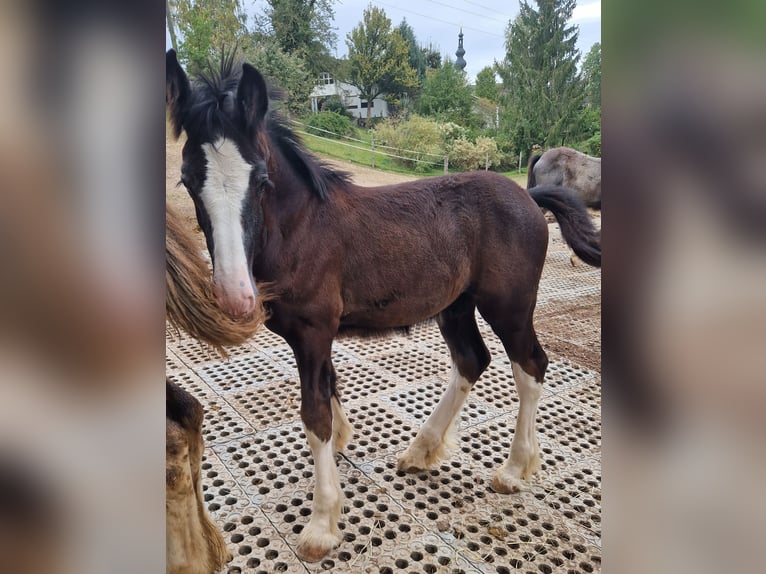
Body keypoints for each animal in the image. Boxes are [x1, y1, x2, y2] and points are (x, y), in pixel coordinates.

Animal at [165, 49, 601, 562]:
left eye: (262, 181)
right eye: (187, 180)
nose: (236, 297)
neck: (303, 228)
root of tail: (530, 197)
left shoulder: (313, 331)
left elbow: (313, 413)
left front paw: (322, 523)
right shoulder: (316, 336)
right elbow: (329, 390)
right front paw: (342, 446)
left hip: (509, 307)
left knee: (530, 366)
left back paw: (514, 470)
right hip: (456, 306)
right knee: (472, 360)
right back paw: (420, 451)